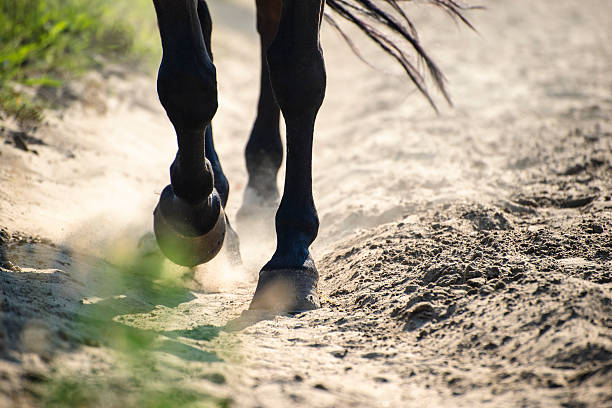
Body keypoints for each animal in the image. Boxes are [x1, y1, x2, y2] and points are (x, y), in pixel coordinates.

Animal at [149, 0, 474, 312]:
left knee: (267, 29)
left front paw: (292, 255)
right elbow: (187, 78)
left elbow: (297, 70)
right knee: (213, 31)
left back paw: (260, 181)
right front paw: (193, 213)